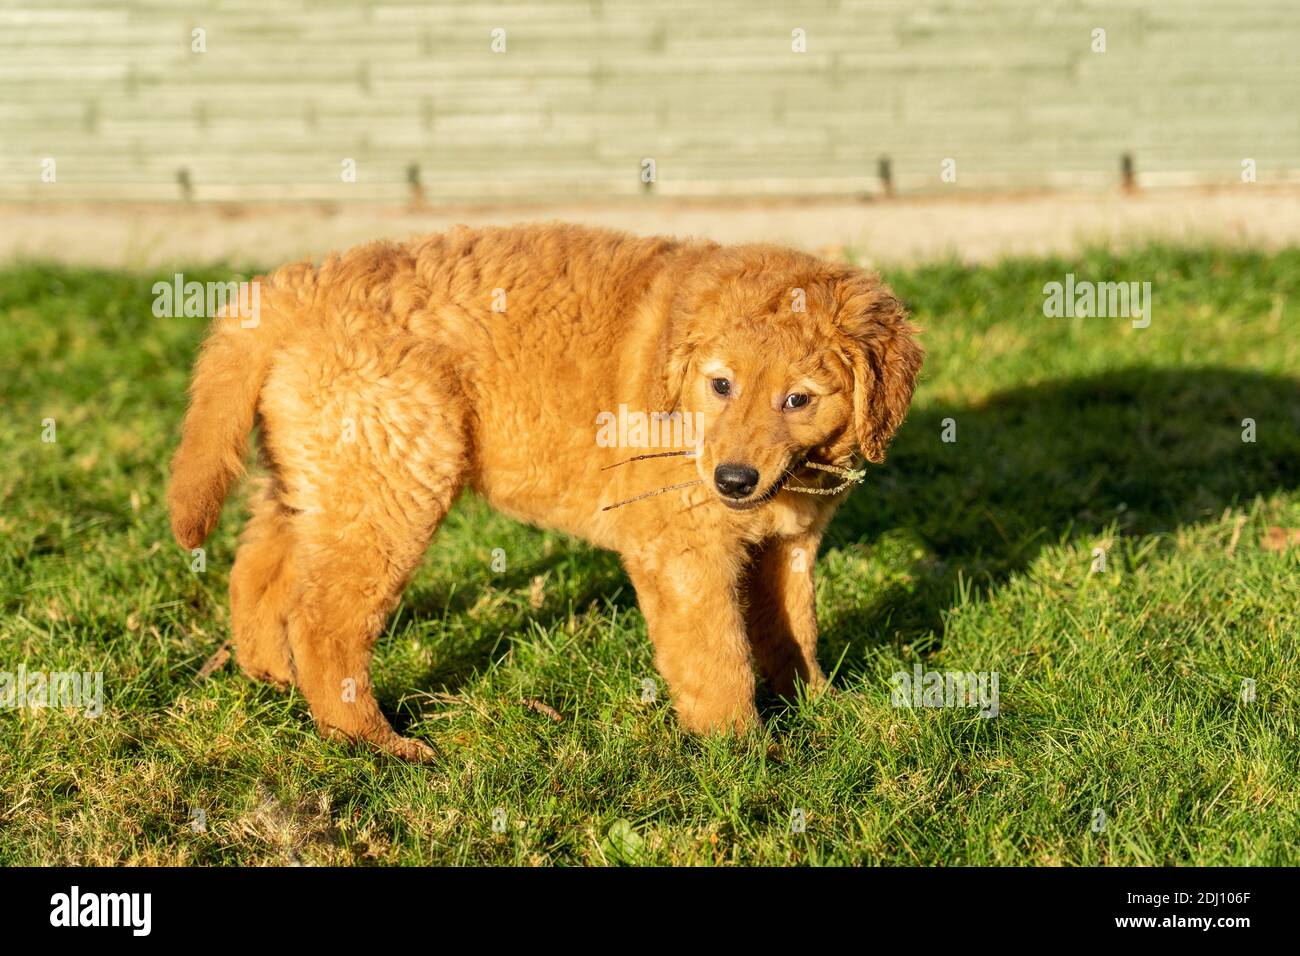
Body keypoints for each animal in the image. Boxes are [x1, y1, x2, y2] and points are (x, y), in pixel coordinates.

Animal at [170, 223, 925, 764]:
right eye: (721, 385)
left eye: (798, 399)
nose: (732, 480)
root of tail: (297, 286)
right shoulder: (682, 550)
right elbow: (717, 654)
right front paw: (741, 751)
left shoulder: (790, 543)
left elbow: (791, 627)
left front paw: (818, 705)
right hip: (391, 480)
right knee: (324, 621)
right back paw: (375, 743)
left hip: (323, 474)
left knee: (260, 569)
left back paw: (273, 678)